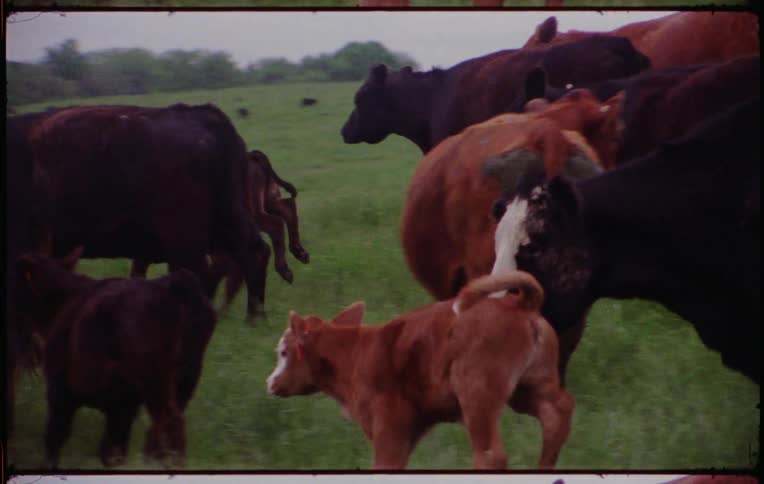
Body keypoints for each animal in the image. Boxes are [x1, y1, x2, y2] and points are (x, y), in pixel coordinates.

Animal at [15, 247, 217, 467]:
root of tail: (174, 286)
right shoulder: (121, 407)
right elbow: (114, 446)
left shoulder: (61, 390)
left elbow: (55, 437)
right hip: (184, 380)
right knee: (165, 423)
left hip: (154, 382)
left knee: (169, 420)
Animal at [267, 271, 574, 470]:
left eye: (283, 352)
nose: (270, 382)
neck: (356, 353)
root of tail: (518, 303)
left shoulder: (389, 428)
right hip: (528, 388)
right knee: (556, 414)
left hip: (477, 397)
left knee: (490, 455)